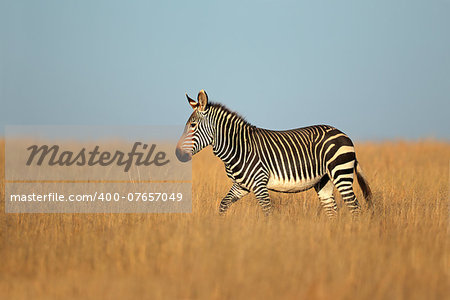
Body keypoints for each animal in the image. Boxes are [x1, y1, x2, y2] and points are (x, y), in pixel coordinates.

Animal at [176, 89, 372, 218]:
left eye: (192, 125)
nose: (178, 154)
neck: (238, 147)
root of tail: (344, 135)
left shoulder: (259, 184)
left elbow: (267, 213)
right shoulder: (241, 186)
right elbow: (223, 204)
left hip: (341, 173)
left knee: (354, 208)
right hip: (324, 181)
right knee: (332, 211)